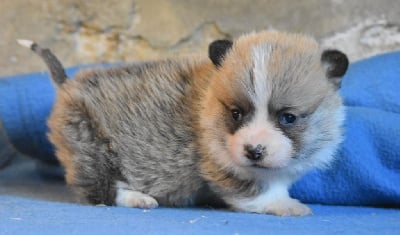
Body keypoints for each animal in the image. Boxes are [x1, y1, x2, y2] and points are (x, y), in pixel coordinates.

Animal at [18, 31, 348, 217]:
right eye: (236, 113)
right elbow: (258, 192)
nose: (254, 151)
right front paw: (285, 206)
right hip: (90, 146)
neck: (210, 105)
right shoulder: (220, 165)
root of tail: (67, 84)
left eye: (288, 118)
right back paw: (138, 198)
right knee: (101, 191)